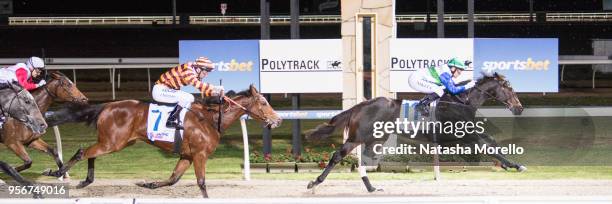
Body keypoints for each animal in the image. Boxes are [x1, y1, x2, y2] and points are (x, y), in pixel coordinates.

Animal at [43, 85, 282, 198]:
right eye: (263, 102)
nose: (278, 119)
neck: (210, 119)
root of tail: (106, 106)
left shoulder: (187, 155)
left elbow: (173, 179)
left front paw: (148, 184)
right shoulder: (200, 154)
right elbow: (201, 182)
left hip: (116, 142)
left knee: (90, 153)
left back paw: (86, 180)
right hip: (113, 142)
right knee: (83, 152)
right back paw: (57, 172)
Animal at [306, 73, 524, 193]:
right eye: (510, 89)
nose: (519, 108)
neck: (462, 102)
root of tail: (361, 105)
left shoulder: (464, 135)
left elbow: (491, 141)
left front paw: (510, 165)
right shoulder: (462, 135)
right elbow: (487, 145)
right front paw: (515, 165)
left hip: (373, 139)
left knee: (358, 161)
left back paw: (371, 188)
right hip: (359, 137)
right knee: (338, 156)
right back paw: (315, 183)